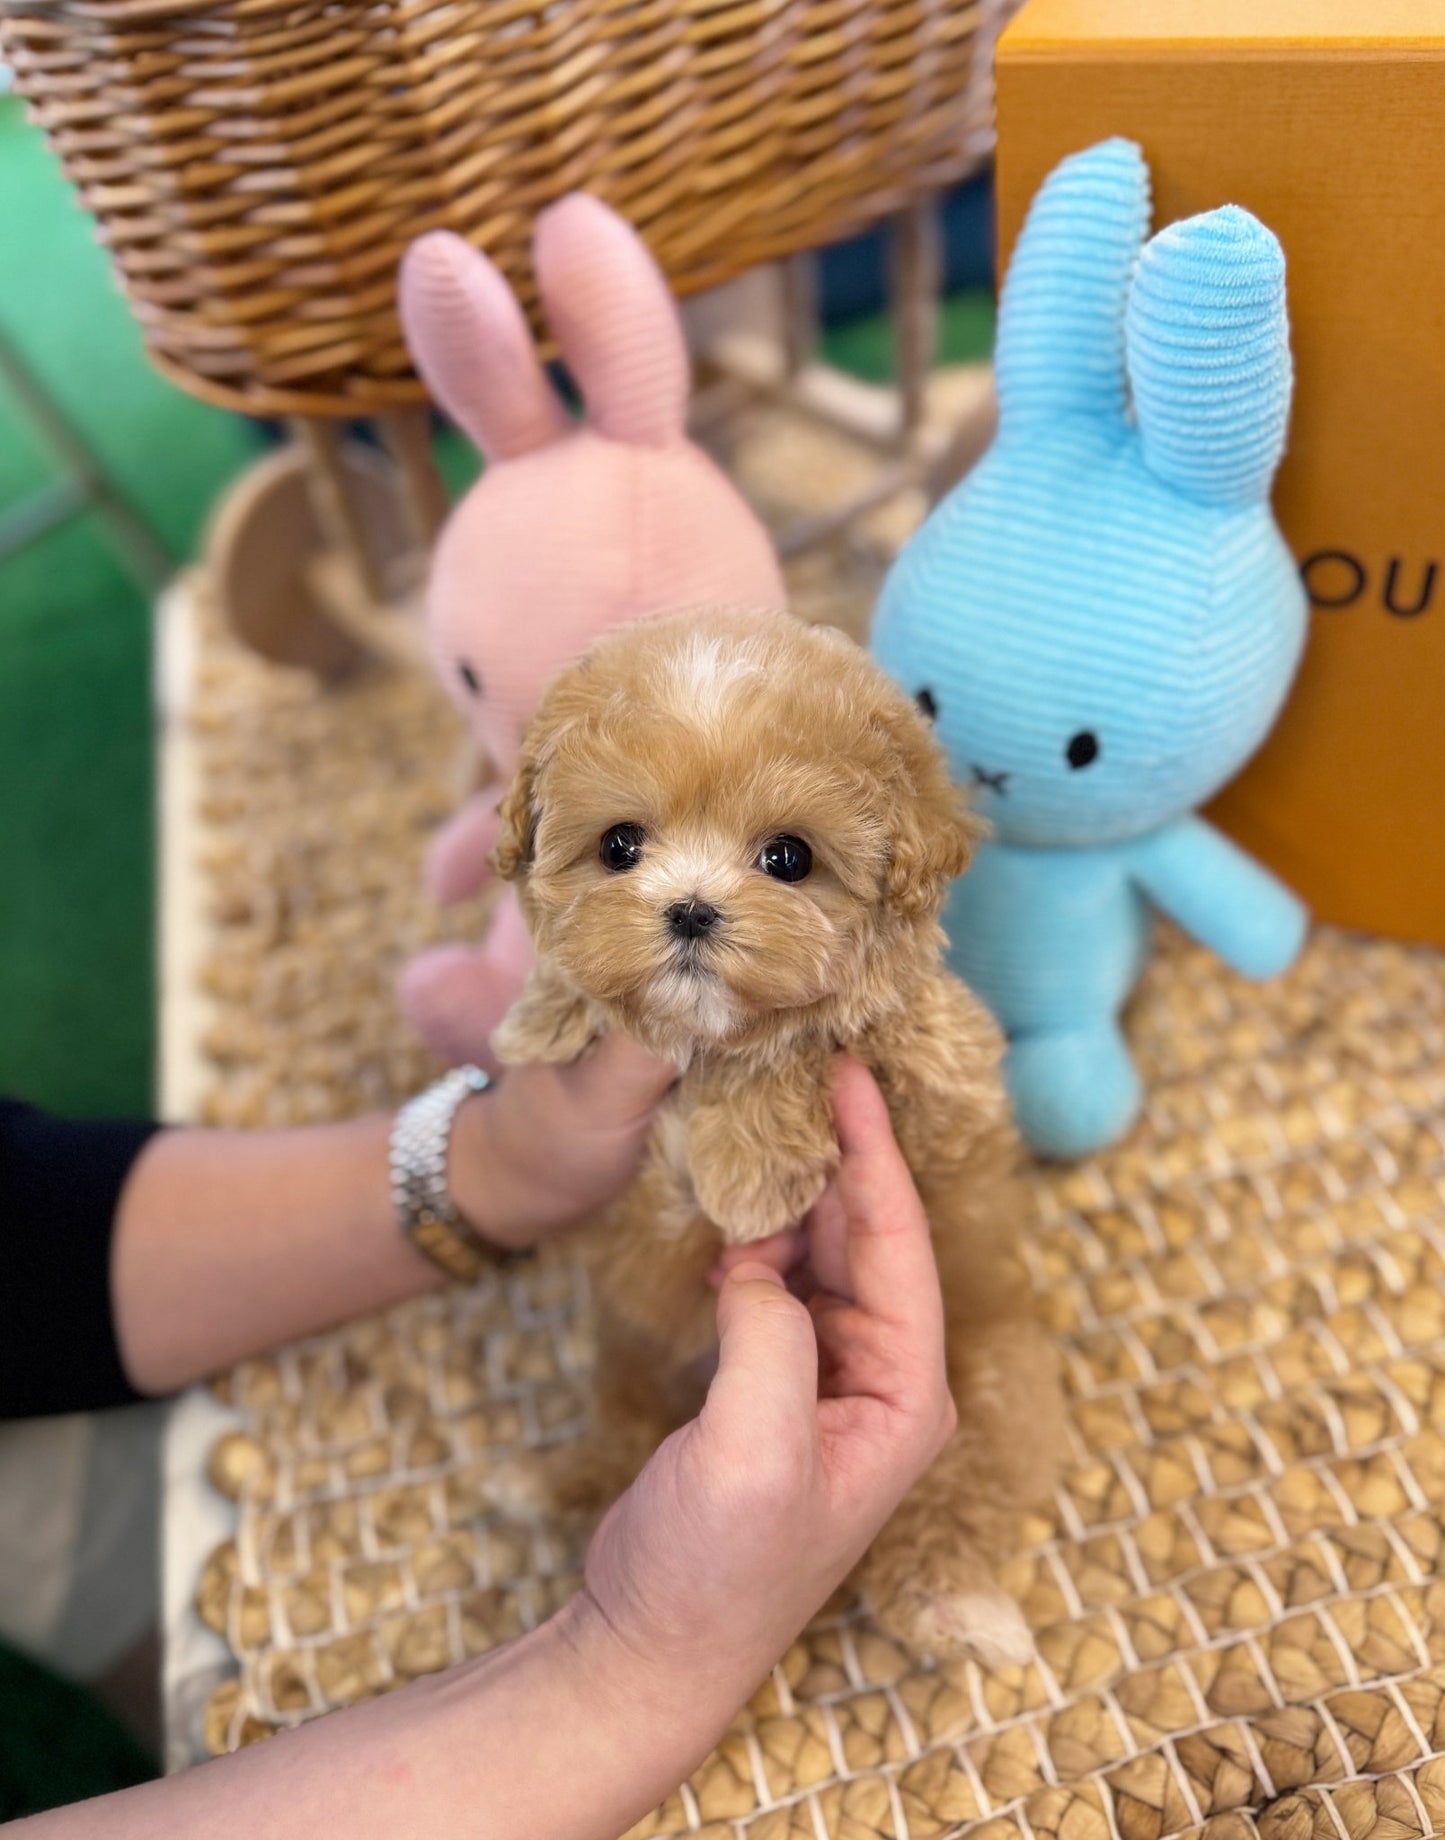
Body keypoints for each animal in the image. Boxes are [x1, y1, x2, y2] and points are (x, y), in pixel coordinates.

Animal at [489, 607, 1067, 1670]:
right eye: (620, 845)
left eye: (788, 859)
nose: (689, 910)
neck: (702, 1040)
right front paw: (543, 1019)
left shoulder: (935, 1083)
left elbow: (806, 1045)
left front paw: (750, 1161)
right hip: (630, 1351)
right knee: (622, 1433)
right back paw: (551, 1482)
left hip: (984, 1392)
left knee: (950, 1502)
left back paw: (956, 1604)